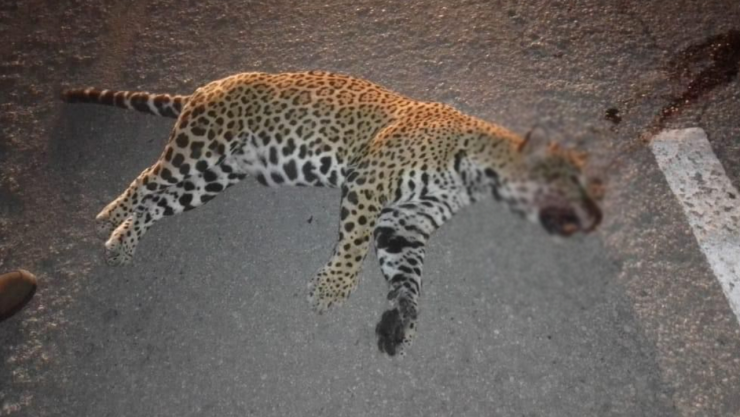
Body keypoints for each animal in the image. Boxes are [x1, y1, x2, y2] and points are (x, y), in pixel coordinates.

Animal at [62, 71, 603, 356]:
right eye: (575, 181)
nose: (598, 216)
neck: (476, 174)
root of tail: (206, 87)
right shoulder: (371, 182)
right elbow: (354, 243)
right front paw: (332, 288)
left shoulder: (406, 223)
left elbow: (408, 276)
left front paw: (400, 322)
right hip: (197, 150)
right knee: (145, 180)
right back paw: (111, 214)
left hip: (213, 177)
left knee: (159, 201)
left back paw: (123, 242)